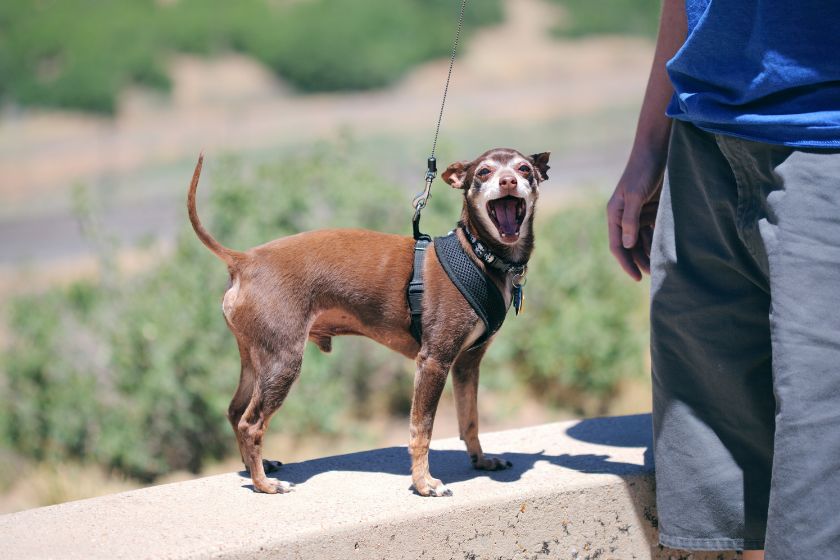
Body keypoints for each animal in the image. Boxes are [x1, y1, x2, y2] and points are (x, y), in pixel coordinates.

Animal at [187, 147, 548, 496]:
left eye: (524, 169)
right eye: (484, 172)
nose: (507, 181)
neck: (479, 255)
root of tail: (244, 260)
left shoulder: (466, 363)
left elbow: (469, 419)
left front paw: (481, 460)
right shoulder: (433, 361)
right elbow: (421, 429)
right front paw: (423, 483)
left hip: (256, 359)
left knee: (236, 412)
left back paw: (255, 468)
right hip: (282, 362)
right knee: (251, 423)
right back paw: (264, 484)